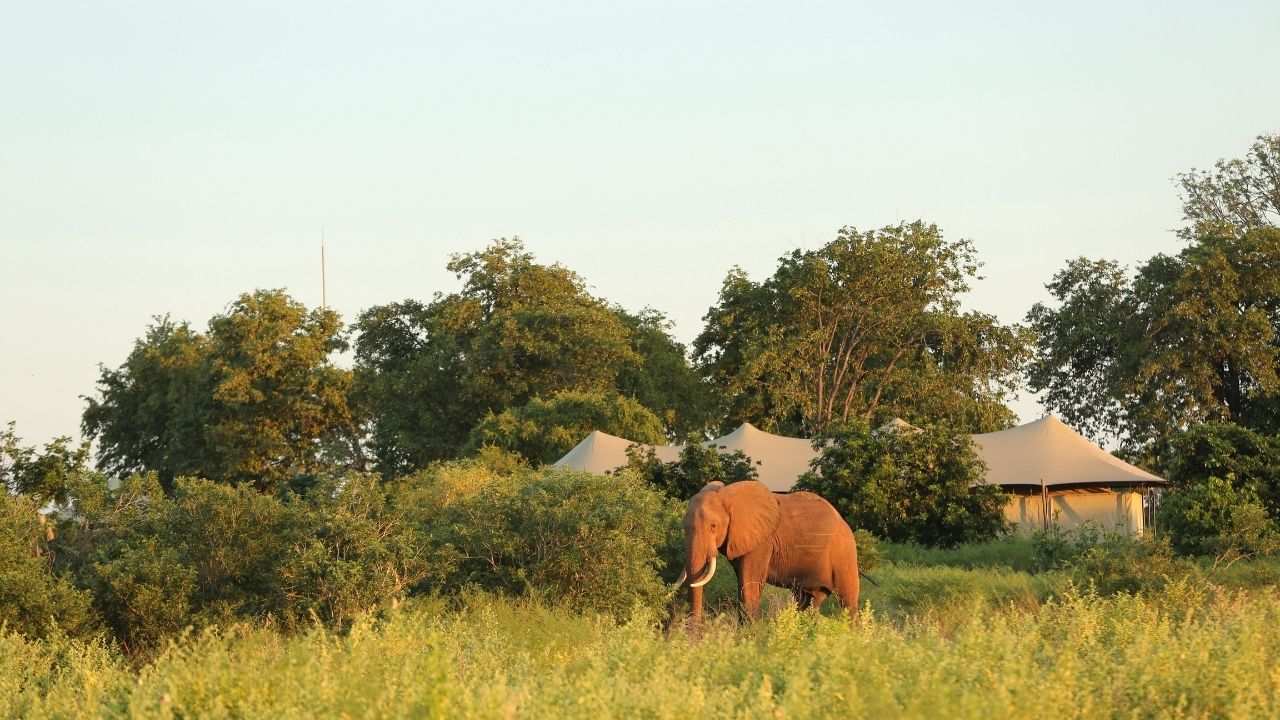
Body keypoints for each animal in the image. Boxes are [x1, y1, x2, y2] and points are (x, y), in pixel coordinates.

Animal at [675, 480, 859, 624]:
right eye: (683, 527)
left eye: (713, 526)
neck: (727, 495)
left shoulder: (762, 543)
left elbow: (749, 585)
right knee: (807, 601)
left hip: (844, 553)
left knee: (848, 601)